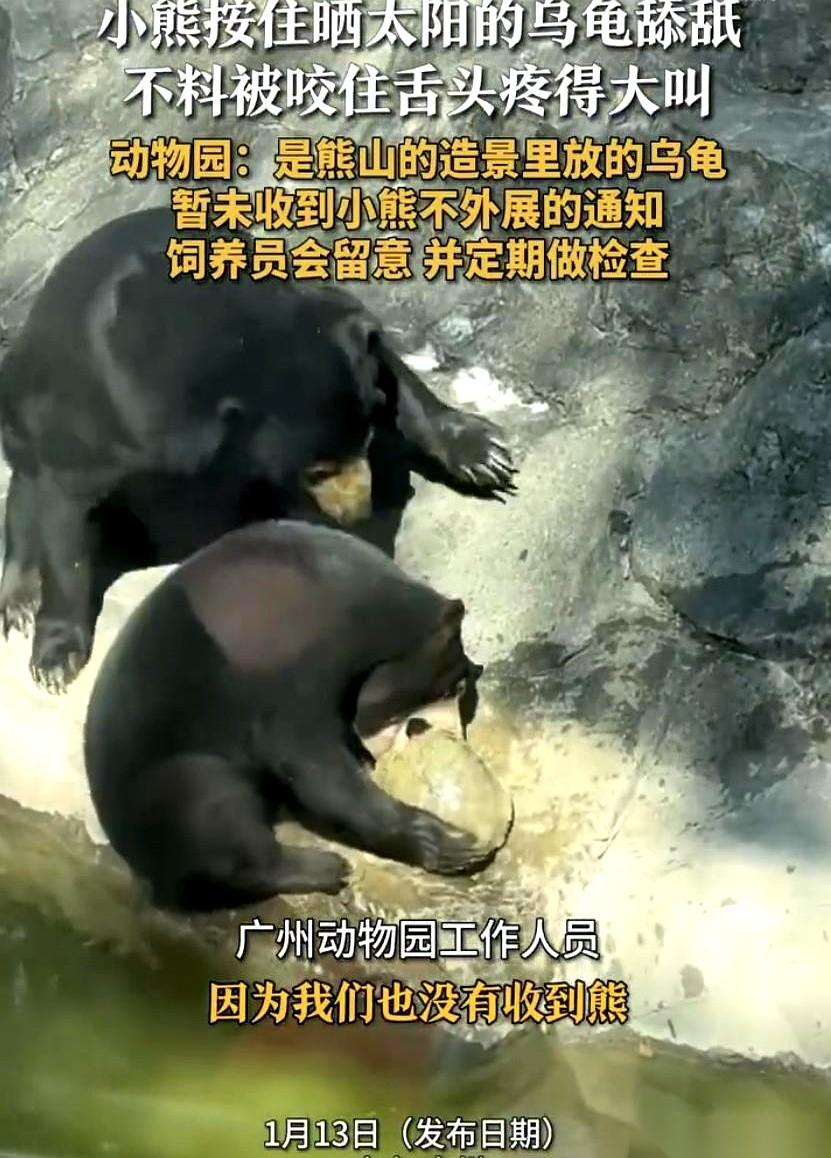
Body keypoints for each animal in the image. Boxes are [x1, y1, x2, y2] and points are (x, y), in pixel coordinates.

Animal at [0, 205, 517, 693]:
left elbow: (387, 365)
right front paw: (54, 659)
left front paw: (483, 455)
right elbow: (65, 513)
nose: (358, 512)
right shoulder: (101, 418)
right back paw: (19, 599)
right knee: (28, 490)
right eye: (316, 471)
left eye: (367, 443)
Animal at [82, 518, 495, 915]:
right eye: (450, 689)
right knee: (224, 822)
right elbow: (315, 766)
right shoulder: (289, 670)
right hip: (178, 776)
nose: (439, 733)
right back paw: (327, 867)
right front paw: (452, 841)